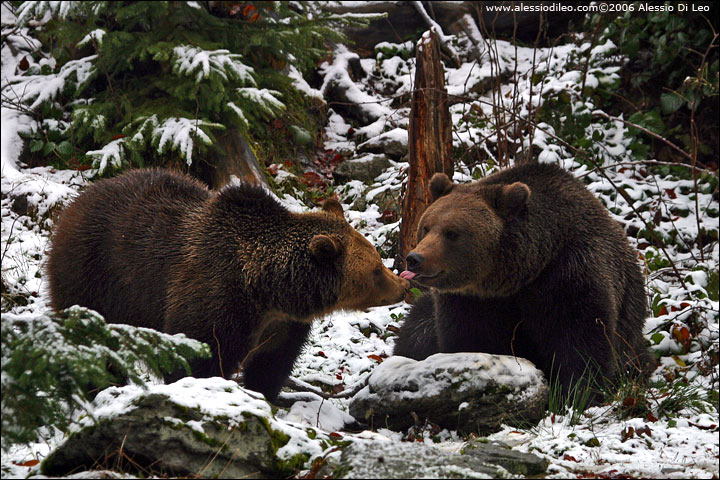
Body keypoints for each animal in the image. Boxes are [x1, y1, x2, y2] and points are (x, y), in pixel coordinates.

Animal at [49, 169, 410, 402]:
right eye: (376, 270)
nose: (402, 285)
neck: (268, 290)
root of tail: (76, 201)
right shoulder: (215, 299)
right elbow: (197, 357)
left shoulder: (282, 327)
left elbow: (270, 365)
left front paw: (263, 395)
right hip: (94, 275)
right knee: (93, 341)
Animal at [390, 164, 656, 398]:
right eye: (426, 227)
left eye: (452, 233)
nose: (415, 258)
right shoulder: (469, 301)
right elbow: (467, 338)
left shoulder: (571, 275)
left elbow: (583, 340)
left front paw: (576, 394)